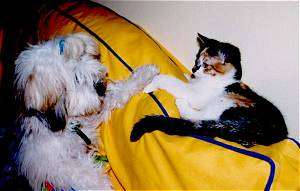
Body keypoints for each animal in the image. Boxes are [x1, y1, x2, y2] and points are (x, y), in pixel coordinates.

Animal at [14, 32, 159, 190]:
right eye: (76, 78)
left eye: (83, 56)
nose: (101, 86)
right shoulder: (57, 165)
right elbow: (87, 176)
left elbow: (118, 92)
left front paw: (145, 74)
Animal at [131, 33, 288, 147]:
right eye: (196, 60)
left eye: (205, 65)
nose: (194, 69)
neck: (222, 80)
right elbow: (188, 80)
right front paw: (188, 75)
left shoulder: (197, 96)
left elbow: (171, 81)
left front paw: (151, 83)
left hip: (227, 103)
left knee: (199, 116)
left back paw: (181, 103)